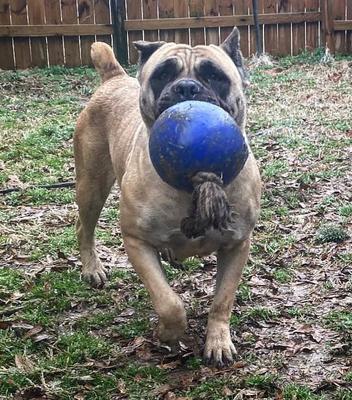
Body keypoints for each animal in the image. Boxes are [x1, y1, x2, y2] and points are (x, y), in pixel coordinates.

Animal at [74, 26, 262, 368]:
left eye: (214, 75)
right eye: (162, 74)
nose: (186, 87)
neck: (189, 186)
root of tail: (113, 78)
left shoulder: (237, 244)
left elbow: (222, 300)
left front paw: (218, 341)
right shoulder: (136, 241)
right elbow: (169, 303)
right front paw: (167, 332)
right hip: (91, 185)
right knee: (85, 227)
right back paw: (92, 268)